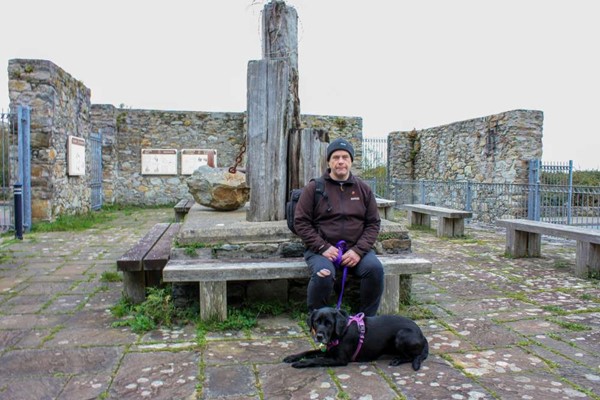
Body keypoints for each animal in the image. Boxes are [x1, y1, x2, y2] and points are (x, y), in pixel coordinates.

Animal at [284, 308, 428, 370]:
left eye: (329, 323)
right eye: (316, 321)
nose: (319, 336)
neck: (341, 332)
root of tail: (422, 335)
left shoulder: (340, 359)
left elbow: (317, 360)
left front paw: (301, 363)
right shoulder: (328, 350)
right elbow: (308, 352)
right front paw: (292, 357)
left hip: (402, 335)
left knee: (412, 356)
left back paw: (397, 360)